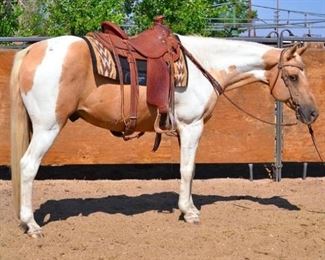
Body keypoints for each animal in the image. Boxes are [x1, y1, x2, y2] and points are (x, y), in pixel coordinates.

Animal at [9, 33, 316, 237]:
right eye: (293, 77)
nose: (312, 113)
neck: (205, 65)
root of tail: (32, 50)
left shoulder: (183, 129)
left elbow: (187, 170)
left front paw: (187, 207)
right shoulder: (192, 126)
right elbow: (188, 169)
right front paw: (189, 213)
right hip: (48, 127)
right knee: (28, 166)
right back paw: (32, 225)